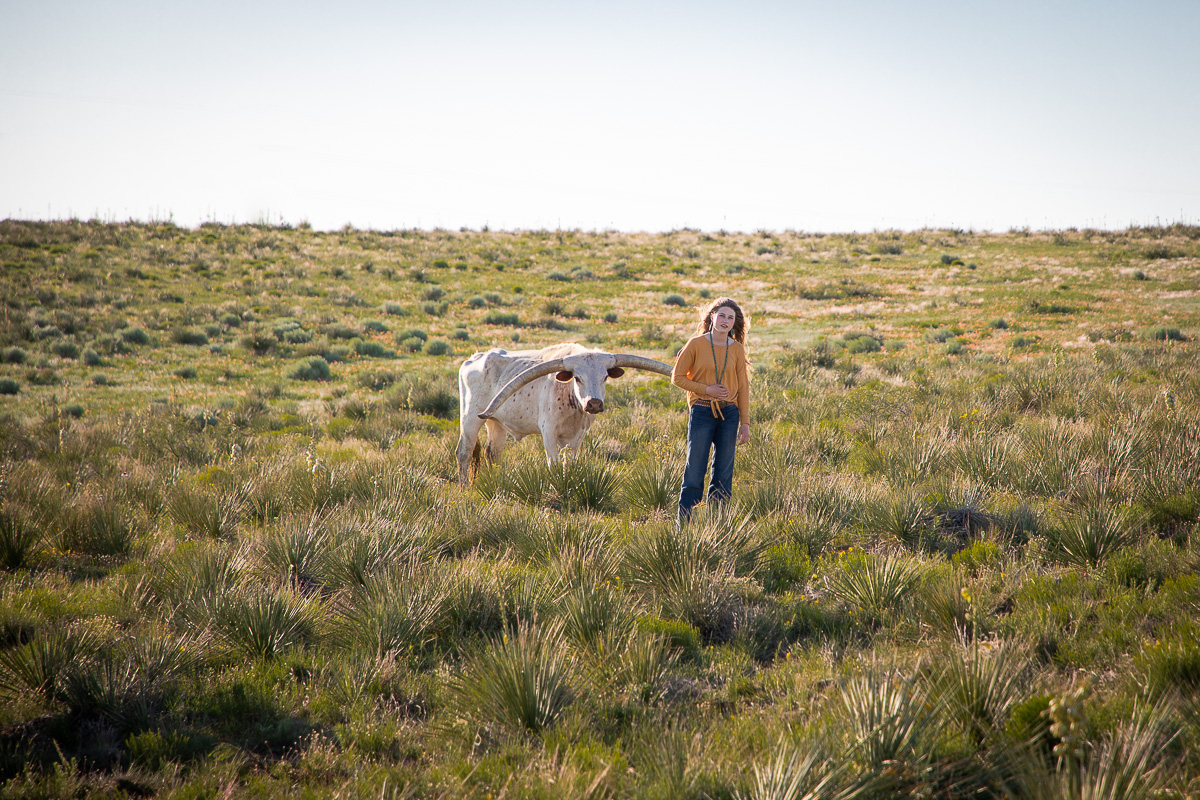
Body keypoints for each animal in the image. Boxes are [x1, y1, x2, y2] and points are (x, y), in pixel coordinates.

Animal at [456, 343, 672, 484]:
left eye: (604, 377)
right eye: (577, 378)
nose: (594, 404)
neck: (573, 406)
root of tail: (473, 359)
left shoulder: (578, 435)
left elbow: (570, 464)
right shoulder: (548, 431)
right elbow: (554, 464)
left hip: (496, 421)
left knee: (492, 453)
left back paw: (494, 484)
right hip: (470, 418)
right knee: (464, 452)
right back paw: (464, 488)